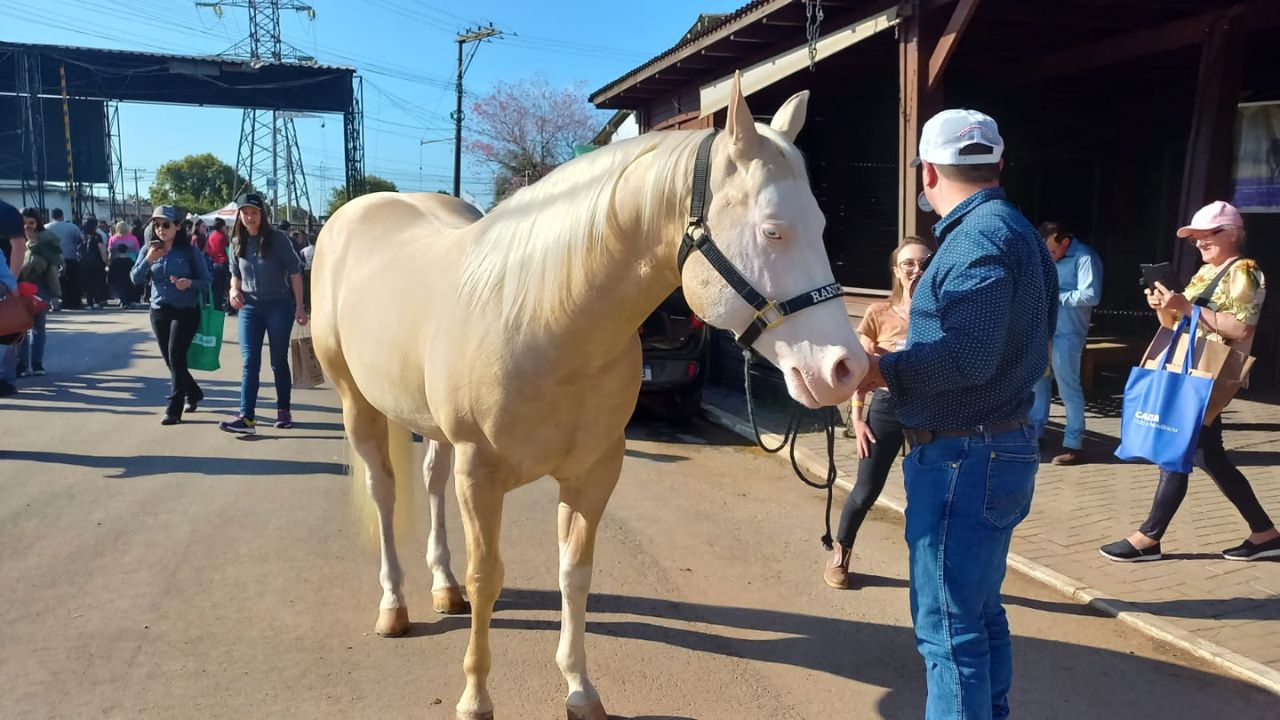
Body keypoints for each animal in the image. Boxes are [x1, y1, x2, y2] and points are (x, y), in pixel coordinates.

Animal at [313, 78, 865, 717]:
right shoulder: (480, 475)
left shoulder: (594, 471)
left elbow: (574, 574)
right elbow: (487, 577)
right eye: (773, 229)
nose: (845, 370)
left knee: (429, 481)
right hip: (358, 404)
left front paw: (580, 688)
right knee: (384, 492)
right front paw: (476, 697)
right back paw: (395, 606)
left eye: (821, 225)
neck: (544, 318)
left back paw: (442, 588)